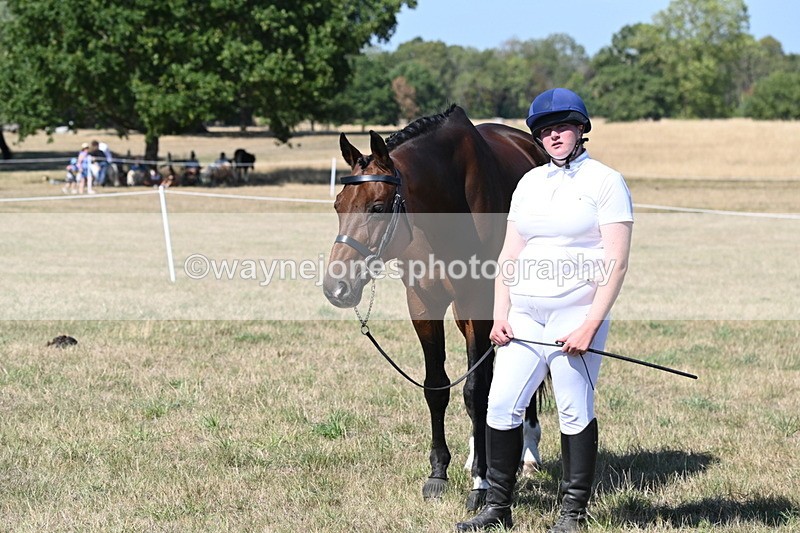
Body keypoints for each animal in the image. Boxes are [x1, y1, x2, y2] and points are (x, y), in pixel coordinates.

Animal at [322, 104, 549, 509]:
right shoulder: (424, 303)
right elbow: (437, 387)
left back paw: (527, 453)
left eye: (377, 207)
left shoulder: (478, 301)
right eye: (337, 206)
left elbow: (475, 390)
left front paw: (481, 484)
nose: (336, 287)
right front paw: (439, 473)